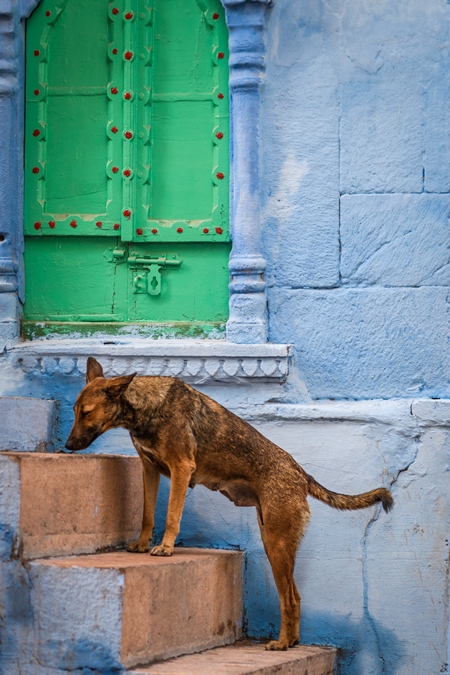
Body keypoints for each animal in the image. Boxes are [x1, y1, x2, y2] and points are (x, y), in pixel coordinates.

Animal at [67, 356, 394, 652]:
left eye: (86, 412)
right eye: (74, 411)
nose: (68, 446)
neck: (145, 407)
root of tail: (302, 475)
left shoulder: (181, 469)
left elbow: (171, 515)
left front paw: (166, 547)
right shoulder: (149, 469)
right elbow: (147, 514)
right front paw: (142, 542)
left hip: (277, 545)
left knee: (289, 598)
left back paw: (282, 643)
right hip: (273, 542)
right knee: (296, 596)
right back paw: (291, 640)